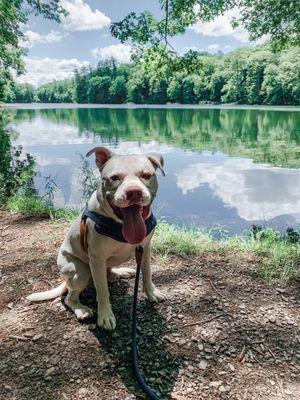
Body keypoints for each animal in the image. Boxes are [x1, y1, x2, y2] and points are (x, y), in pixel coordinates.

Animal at [25, 148, 166, 330]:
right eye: (114, 178)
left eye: (147, 175)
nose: (134, 191)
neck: (118, 223)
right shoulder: (97, 259)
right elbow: (102, 290)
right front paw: (105, 316)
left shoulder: (145, 248)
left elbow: (147, 273)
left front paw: (152, 293)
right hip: (80, 271)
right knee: (70, 297)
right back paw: (81, 310)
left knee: (108, 272)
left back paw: (120, 272)